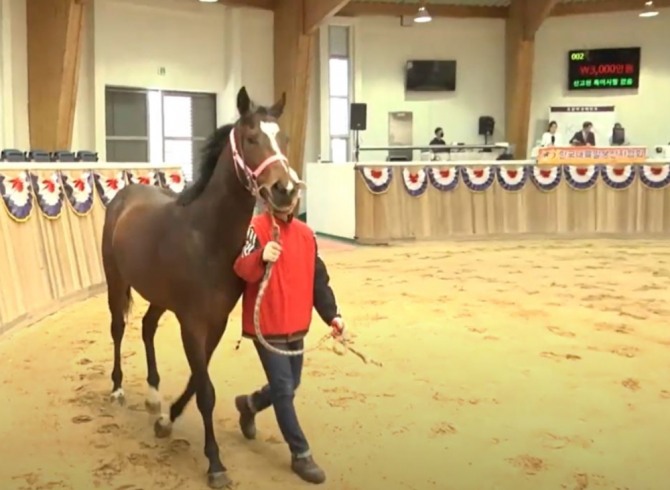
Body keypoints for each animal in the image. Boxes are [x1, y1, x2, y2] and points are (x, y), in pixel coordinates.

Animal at [101, 86, 302, 488]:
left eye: (284, 138)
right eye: (252, 138)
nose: (285, 190)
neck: (206, 236)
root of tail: (123, 195)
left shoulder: (216, 322)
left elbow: (198, 379)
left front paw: (166, 420)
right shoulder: (191, 323)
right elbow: (205, 390)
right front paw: (215, 463)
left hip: (159, 297)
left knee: (146, 328)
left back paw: (153, 396)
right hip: (116, 281)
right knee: (118, 328)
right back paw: (117, 389)